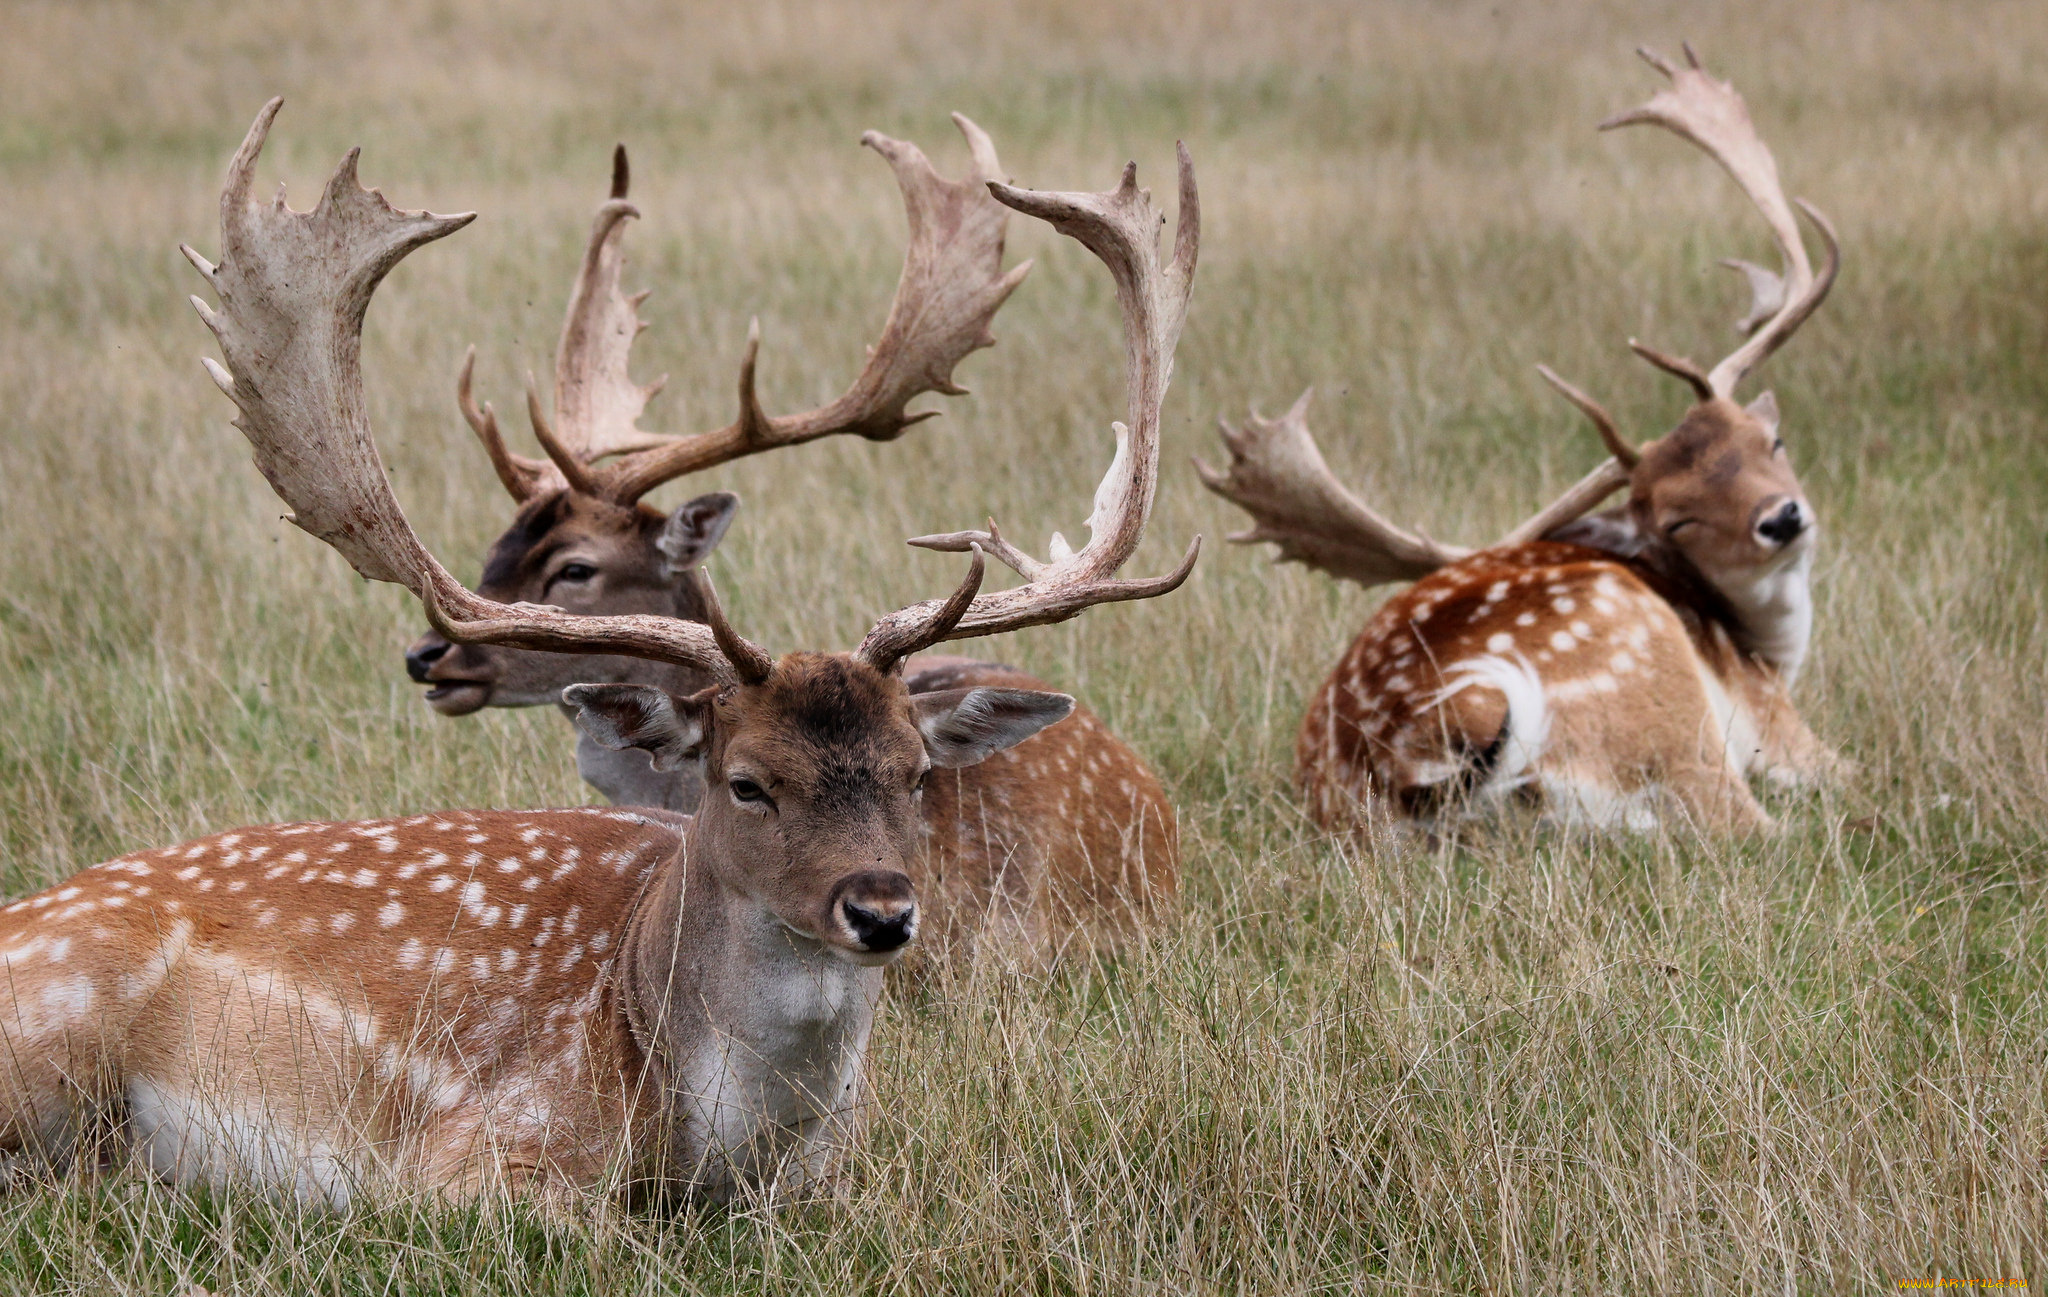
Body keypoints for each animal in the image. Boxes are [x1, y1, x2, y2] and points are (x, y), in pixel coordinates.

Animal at [1204, 48, 1851, 827]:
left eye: (1770, 443)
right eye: (1677, 519)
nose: (1782, 518)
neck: (1768, 647)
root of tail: (1407, 763)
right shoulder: (1778, 722)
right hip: (1655, 686)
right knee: (1748, 824)